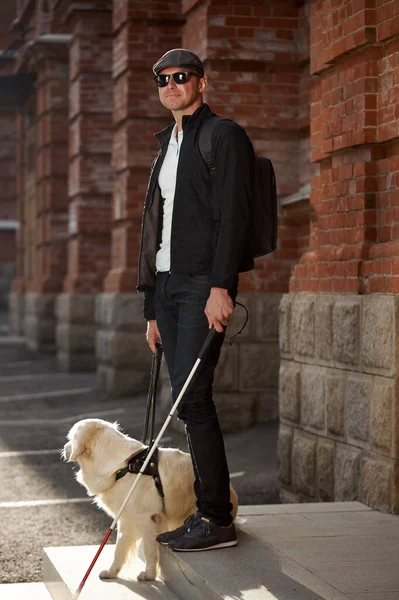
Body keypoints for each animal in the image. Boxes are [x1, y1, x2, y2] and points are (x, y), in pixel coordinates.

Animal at [62, 418, 238, 580]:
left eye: (70, 438)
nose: (63, 448)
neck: (126, 466)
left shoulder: (148, 519)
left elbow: (149, 549)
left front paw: (149, 574)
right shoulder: (126, 518)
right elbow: (119, 547)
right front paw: (112, 571)